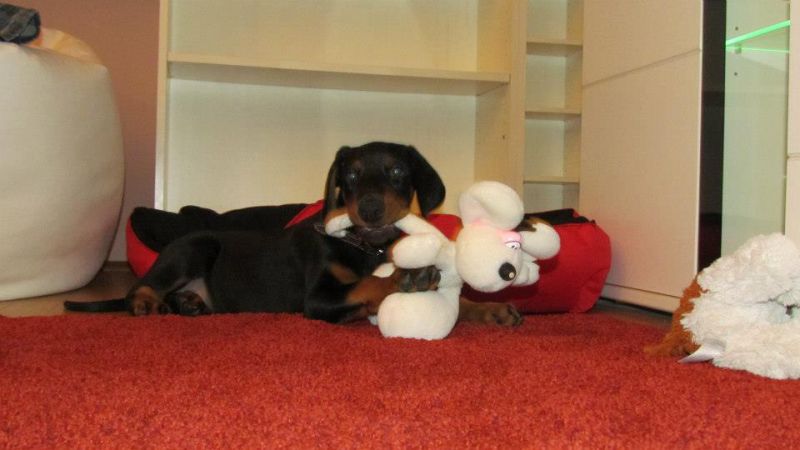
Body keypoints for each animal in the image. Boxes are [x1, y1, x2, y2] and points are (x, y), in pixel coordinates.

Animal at [66, 142, 522, 326]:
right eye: (351, 175)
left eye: (396, 171)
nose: (370, 209)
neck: (367, 247)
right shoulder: (317, 299)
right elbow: (364, 287)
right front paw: (402, 279)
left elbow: (459, 304)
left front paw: (490, 310)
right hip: (196, 245)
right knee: (139, 287)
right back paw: (148, 303)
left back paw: (190, 304)